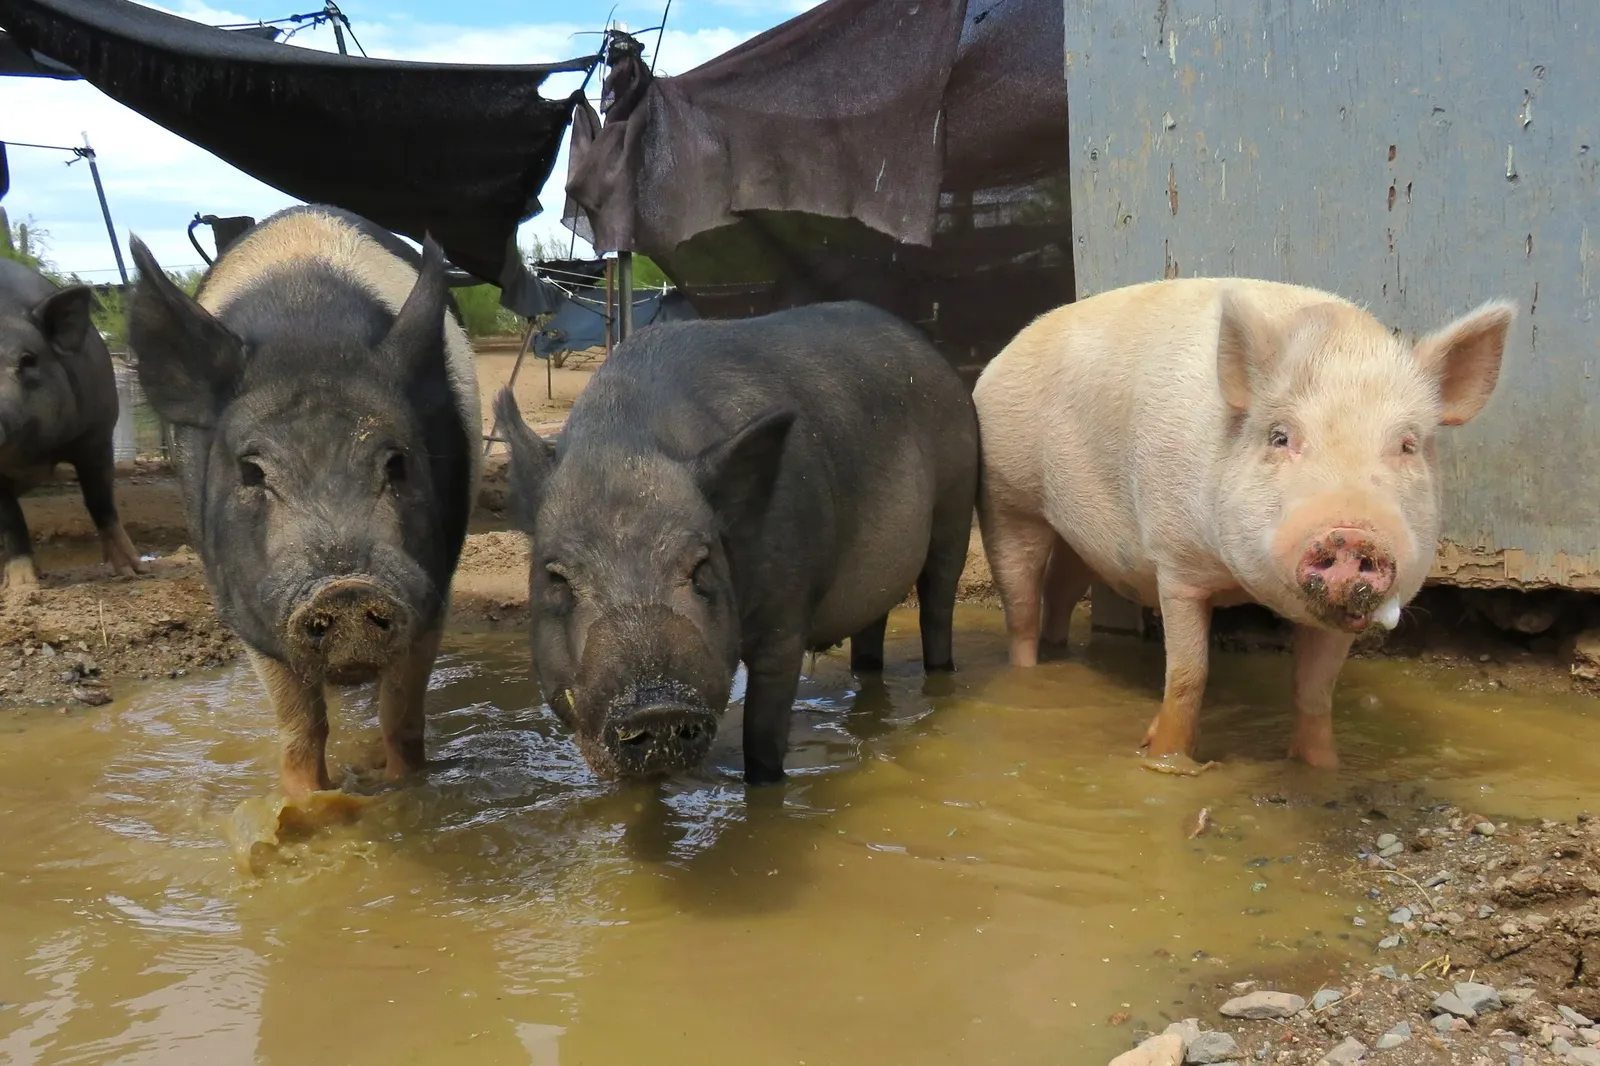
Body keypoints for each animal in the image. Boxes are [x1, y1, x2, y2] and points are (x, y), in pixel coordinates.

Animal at [0, 258, 144, 586]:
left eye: (28, 359)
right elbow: (11, 520)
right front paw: (23, 587)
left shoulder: (98, 435)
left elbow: (101, 501)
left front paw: (133, 571)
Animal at [126, 206, 482, 798]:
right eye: (251, 470)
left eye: (397, 462)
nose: (346, 588)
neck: (310, 333)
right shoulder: (245, 603)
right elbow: (301, 726)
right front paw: (304, 801)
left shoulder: (433, 589)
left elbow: (400, 716)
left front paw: (406, 790)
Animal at [493, 301, 979, 784]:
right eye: (557, 578)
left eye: (701, 566)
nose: (657, 708)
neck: (626, 447)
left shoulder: (787, 612)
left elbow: (763, 737)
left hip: (956, 503)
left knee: (938, 603)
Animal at [974, 278, 1514, 768]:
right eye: (1280, 436)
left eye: (1407, 444)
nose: (1351, 534)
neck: (1236, 581)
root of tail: (1002, 355)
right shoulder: (1176, 563)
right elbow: (1188, 675)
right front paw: (1164, 759)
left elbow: (1315, 692)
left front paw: (1323, 769)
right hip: (1007, 496)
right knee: (1021, 607)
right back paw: (1026, 677)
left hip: (1073, 537)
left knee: (1061, 592)